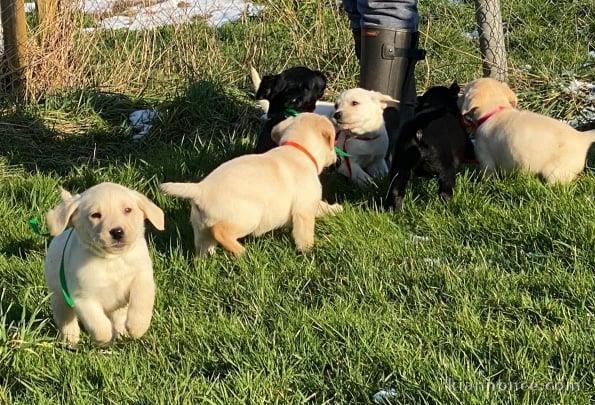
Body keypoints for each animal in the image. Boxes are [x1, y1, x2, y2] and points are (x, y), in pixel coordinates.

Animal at [43, 183, 165, 344]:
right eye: (95, 215)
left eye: (128, 210)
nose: (117, 232)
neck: (112, 260)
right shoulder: (82, 297)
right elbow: (98, 324)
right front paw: (105, 338)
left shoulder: (143, 276)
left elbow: (141, 300)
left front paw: (137, 327)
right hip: (58, 295)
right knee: (65, 317)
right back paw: (71, 337)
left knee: (119, 316)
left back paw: (122, 332)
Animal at [161, 112, 342, 254]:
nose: (337, 160)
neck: (298, 149)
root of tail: (200, 189)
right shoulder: (304, 209)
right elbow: (306, 233)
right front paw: (309, 251)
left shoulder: (310, 204)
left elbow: (323, 206)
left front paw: (336, 209)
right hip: (248, 216)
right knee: (221, 232)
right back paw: (242, 252)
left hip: (201, 231)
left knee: (202, 251)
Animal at [460, 79, 595, 183]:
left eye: (464, 93)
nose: (458, 96)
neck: (496, 111)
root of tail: (582, 137)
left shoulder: (485, 159)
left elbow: (487, 175)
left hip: (555, 171)